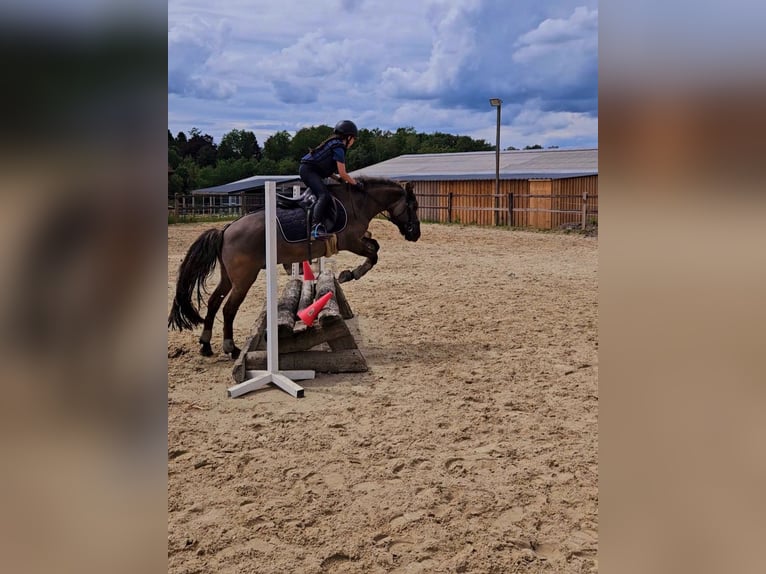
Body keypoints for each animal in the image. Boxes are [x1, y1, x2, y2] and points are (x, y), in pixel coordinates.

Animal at [168, 178, 424, 358]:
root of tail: (226, 229)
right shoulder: (351, 241)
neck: (357, 204)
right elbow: (374, 253)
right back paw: (230, 348)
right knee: (229, 308)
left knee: (214, 302)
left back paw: (205, 345)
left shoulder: (356, 240)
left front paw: (348, 274)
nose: (415, 234)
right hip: (244, 278)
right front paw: (349, 274)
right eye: (413, 206)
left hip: (228, 277)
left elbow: (375, 247)